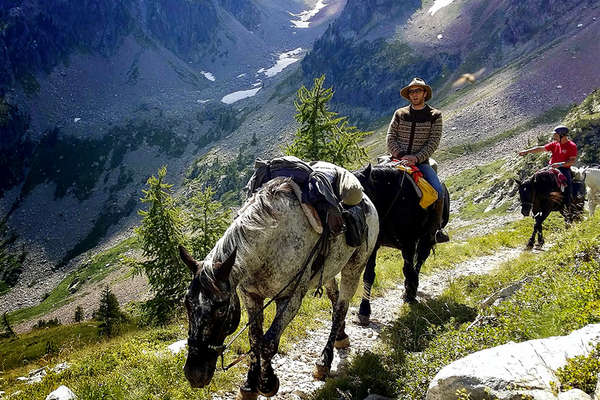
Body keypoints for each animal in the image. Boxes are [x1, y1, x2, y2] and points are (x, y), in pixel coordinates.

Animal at [178, 177, 378, 398]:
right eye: (187, 304)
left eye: (221, 309)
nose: (195, 374)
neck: (269, 246)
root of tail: (366, 199)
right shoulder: (251, 296)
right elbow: (254, 339)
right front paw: (249, 385)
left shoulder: (290, 299)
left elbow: (268, 343)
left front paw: (266, 383)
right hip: (329, 271)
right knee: (334, 299)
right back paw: (341, 337)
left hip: (354, 267)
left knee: (341, 308)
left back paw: (324, 362)